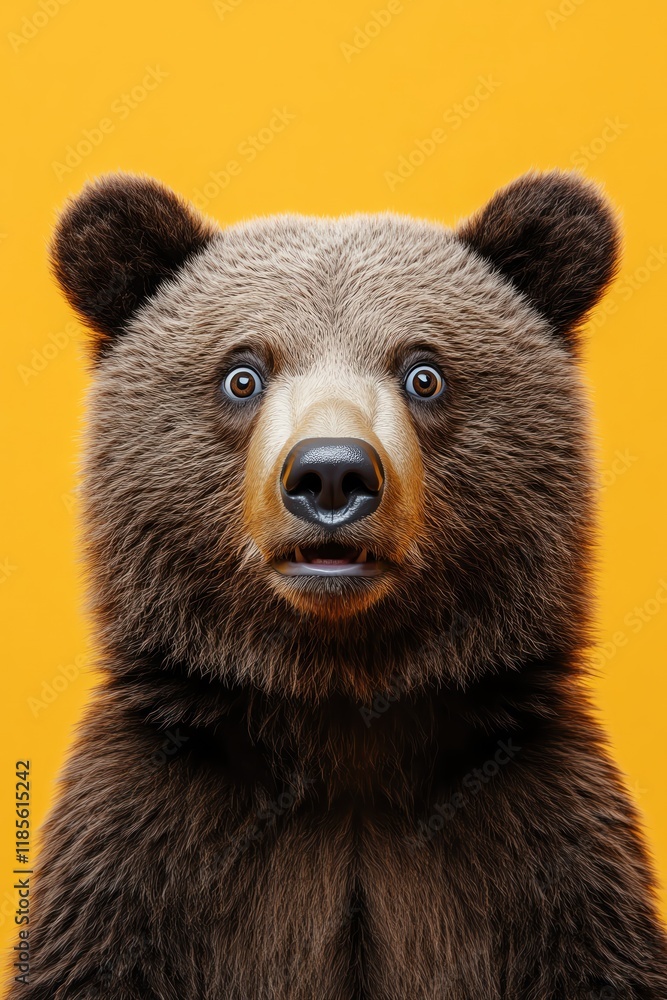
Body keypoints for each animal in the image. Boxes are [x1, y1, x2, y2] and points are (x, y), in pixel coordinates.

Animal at [8, 170, 667, 999]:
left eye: (424, 373)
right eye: (242, 374)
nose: (330, 474)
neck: (339, 709)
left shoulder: (540, 840)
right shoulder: (143, 843)